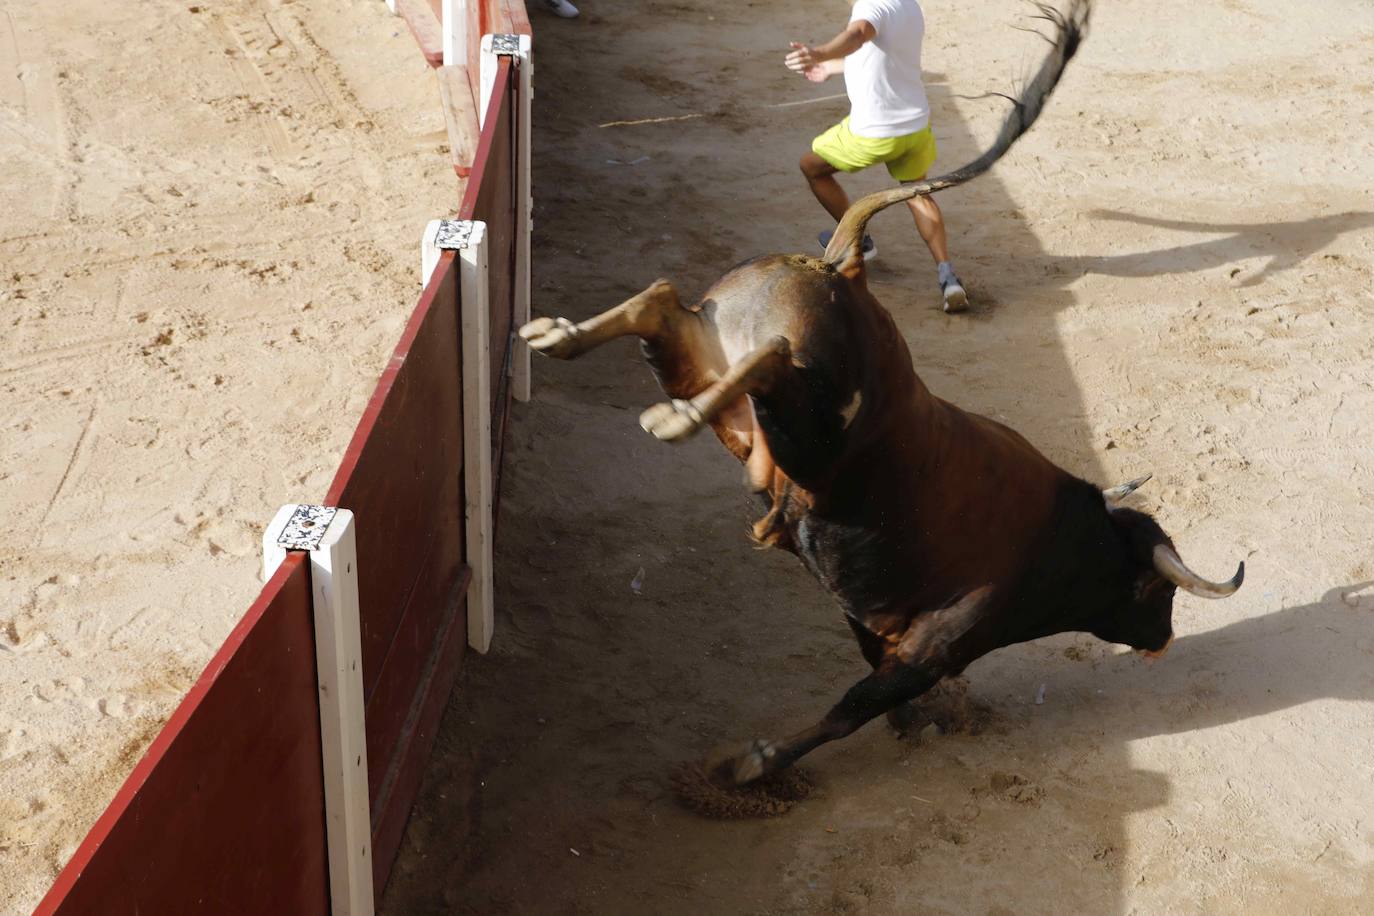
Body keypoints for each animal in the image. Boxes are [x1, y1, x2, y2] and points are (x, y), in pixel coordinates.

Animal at [516, 1, 1247, 791]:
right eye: (1158, 591)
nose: (1164, 639)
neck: (1064, 532)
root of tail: (839, 269)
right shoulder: (939, 642)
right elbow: (854, 706)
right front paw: (756, 761)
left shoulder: (879, 618)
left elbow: (867, 672)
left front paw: (905, 725)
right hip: (810, 429)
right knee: (769, 358)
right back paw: (666, 411)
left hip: (719, 375)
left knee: (660, 304)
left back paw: (565, 340)